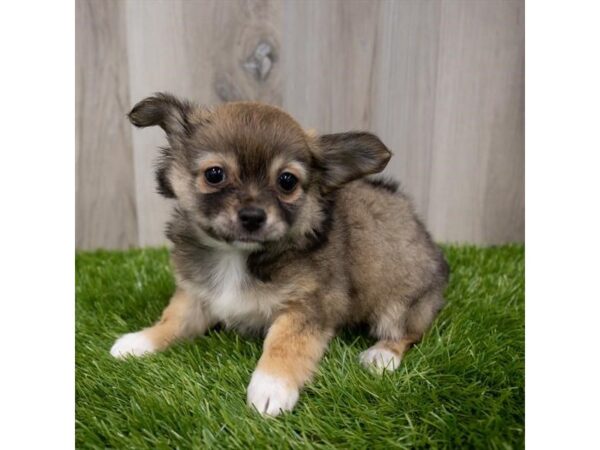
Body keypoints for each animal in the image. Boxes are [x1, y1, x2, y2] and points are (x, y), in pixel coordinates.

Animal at [110, 94, 448, 418]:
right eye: (215, 174)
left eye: (287, 181)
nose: (252, 216)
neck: (237, 256)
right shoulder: (196, 296)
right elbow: (173, 320)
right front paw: (139, 341)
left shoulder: (307, 307)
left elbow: (284, 345)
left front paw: (271, 388)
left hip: (401, 301)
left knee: (407, 333)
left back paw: (381, 355)